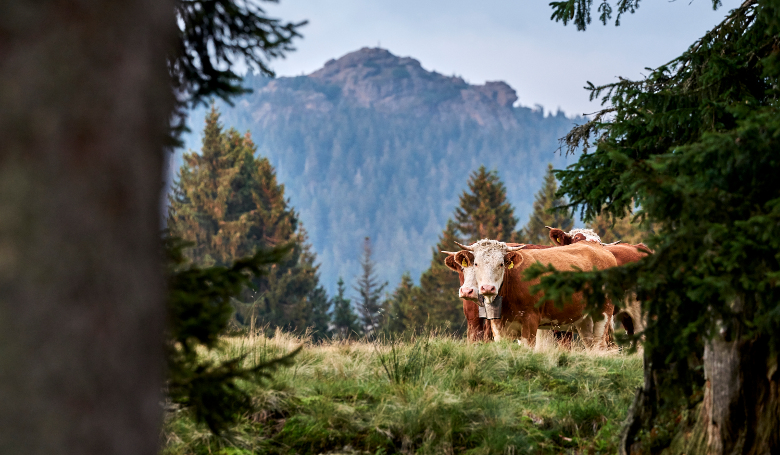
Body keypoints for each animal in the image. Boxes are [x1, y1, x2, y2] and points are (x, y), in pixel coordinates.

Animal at [458, 240, 616, 348]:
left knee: (600, 345)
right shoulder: (498, 328)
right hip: (584, 319)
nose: (487, 288)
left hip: (603, 313)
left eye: (501, 264)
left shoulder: (530, 321)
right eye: (476, 264)